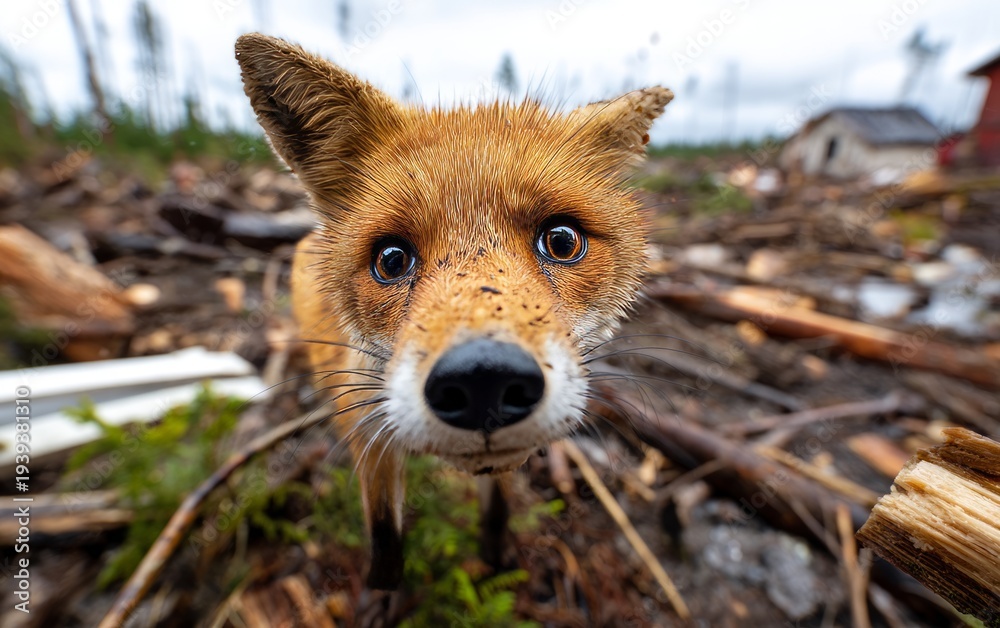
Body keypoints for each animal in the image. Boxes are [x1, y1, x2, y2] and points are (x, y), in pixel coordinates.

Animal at [235, 33, 672, 590]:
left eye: (562, 240)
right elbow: (384, 541)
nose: (483, 378)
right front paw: (383, 594)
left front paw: (494, 568)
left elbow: (497, 514)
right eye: (391, 259)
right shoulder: (368, 435)